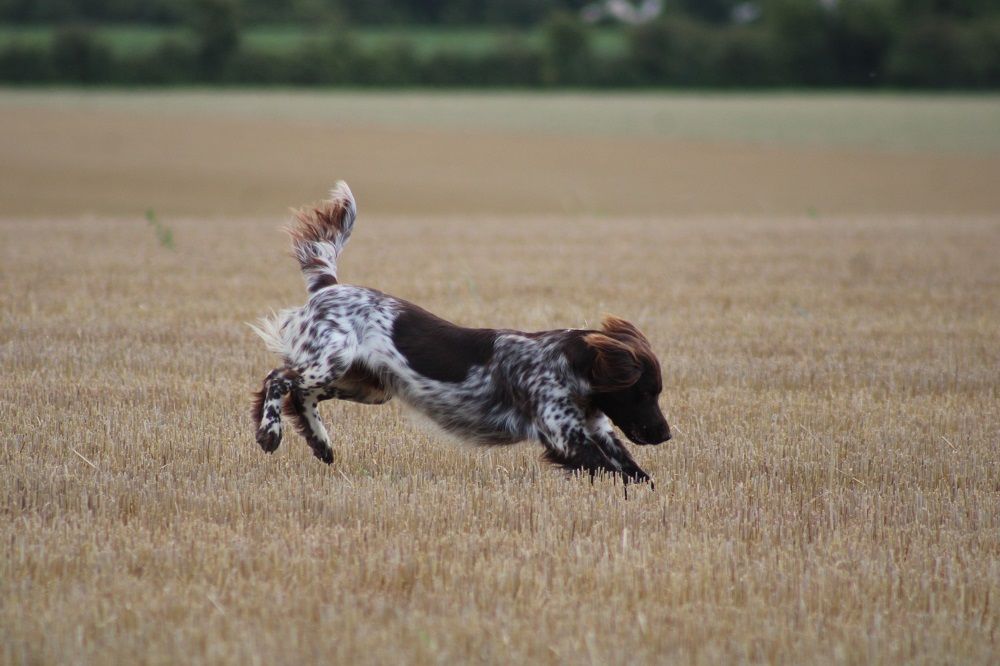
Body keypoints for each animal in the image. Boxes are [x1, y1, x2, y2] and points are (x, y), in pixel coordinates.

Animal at [250, 182, 672, 482]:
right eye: (644, 391)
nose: (666, 434)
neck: (568, 364)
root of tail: (328, 285)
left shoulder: (597, 429)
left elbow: (634, 472)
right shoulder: (563, 434)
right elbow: (615, 471)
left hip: (368, 385)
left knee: (301, 396)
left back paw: (321, 443)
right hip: (331, 363)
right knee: (278, 378)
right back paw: (270, 432)